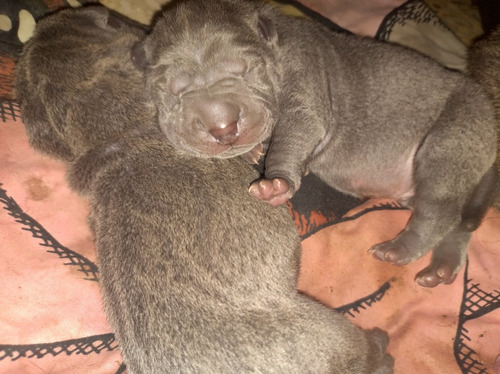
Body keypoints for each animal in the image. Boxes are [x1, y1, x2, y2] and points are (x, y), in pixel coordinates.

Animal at [135, 0, 498, 288]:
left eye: (245, 70)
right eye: (173, 90)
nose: (222, 127)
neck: (275, 45)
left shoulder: (304, 82)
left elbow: (295, 130)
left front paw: (275, 183)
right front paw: (254, 150)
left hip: (452, 138)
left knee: (441, 211)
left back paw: (400, 249)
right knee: (460, 222)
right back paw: (442, 267)